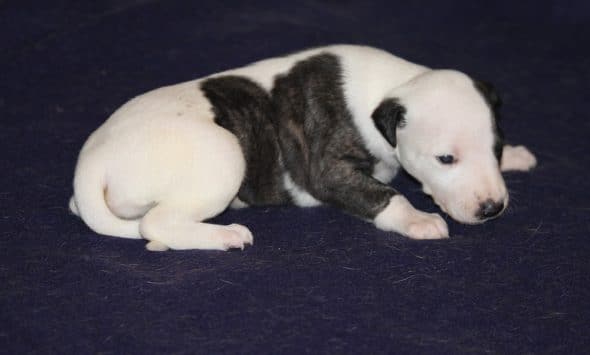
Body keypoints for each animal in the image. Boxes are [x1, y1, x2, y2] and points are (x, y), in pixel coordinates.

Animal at [68, 44, 536, 252]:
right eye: (445, 159)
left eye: (494, 148)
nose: (492, 208)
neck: (392, 89)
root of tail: (90, 165)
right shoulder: (328, 170)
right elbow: (385, 195)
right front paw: (417, 219)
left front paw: (516, 155)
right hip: (224, 157)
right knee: (157, 223)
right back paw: (224, 234)